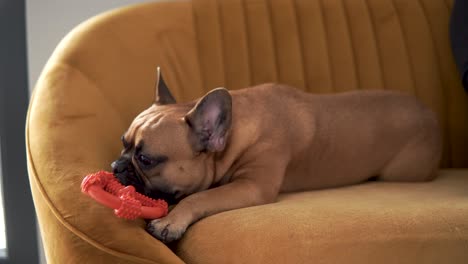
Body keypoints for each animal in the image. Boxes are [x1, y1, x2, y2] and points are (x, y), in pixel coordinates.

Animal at [111, 68, 440, 243]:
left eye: (146, 159)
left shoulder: (252, 186)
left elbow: (199, 197)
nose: (116, 166)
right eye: (123, 143)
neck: (234, 129)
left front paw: (171, 220)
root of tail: (429, 114)